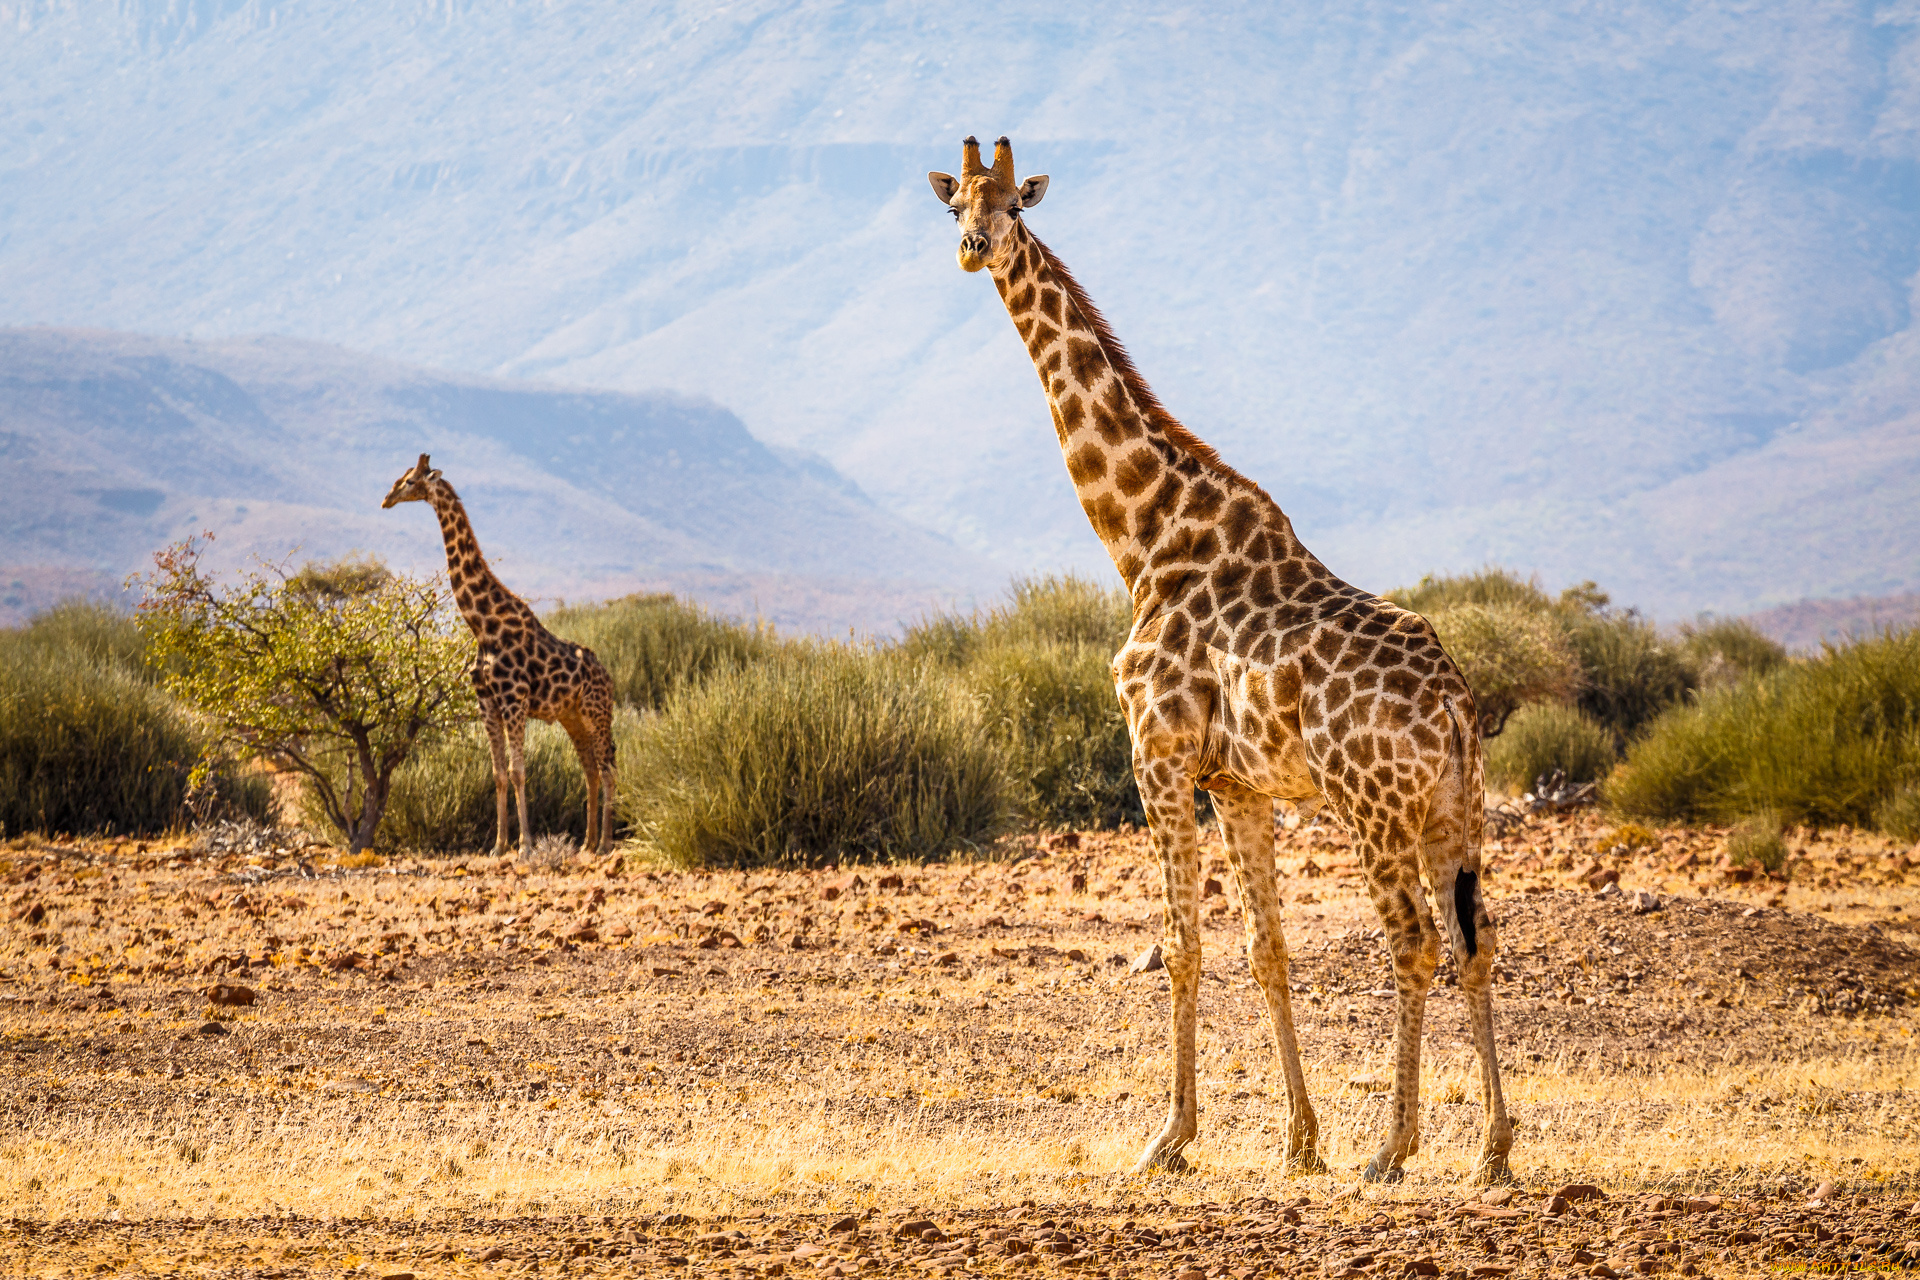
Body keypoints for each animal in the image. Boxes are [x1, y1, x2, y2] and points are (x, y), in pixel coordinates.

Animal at [387, 452, 622, 859]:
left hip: (596, 711)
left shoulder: (514, 699)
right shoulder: (487, 701)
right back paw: (587, 843)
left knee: (608, 766)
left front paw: (525, 846)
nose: (386, 499)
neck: (482, 625)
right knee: (590, 768)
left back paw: (606, 843)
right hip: (572, 715)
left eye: (410, 481)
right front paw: (498, 846)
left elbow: (517, 771)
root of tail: (608, 678)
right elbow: (497, 773)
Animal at [929, 138, 1512, 1182]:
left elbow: (1181, 945)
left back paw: (1393, 1149)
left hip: (1372, 806)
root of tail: (1451, 702)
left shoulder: (1155, 755)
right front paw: (1298, 1143)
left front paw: (1169, 1138)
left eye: (1013, 205)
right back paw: (1492, 1151)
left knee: (1413, 942)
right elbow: (1264, 950)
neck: (1143, 538)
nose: (973, 249)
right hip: (1456, 807)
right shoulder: (1236, 782)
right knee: (1473, 938)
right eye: (955, 202)